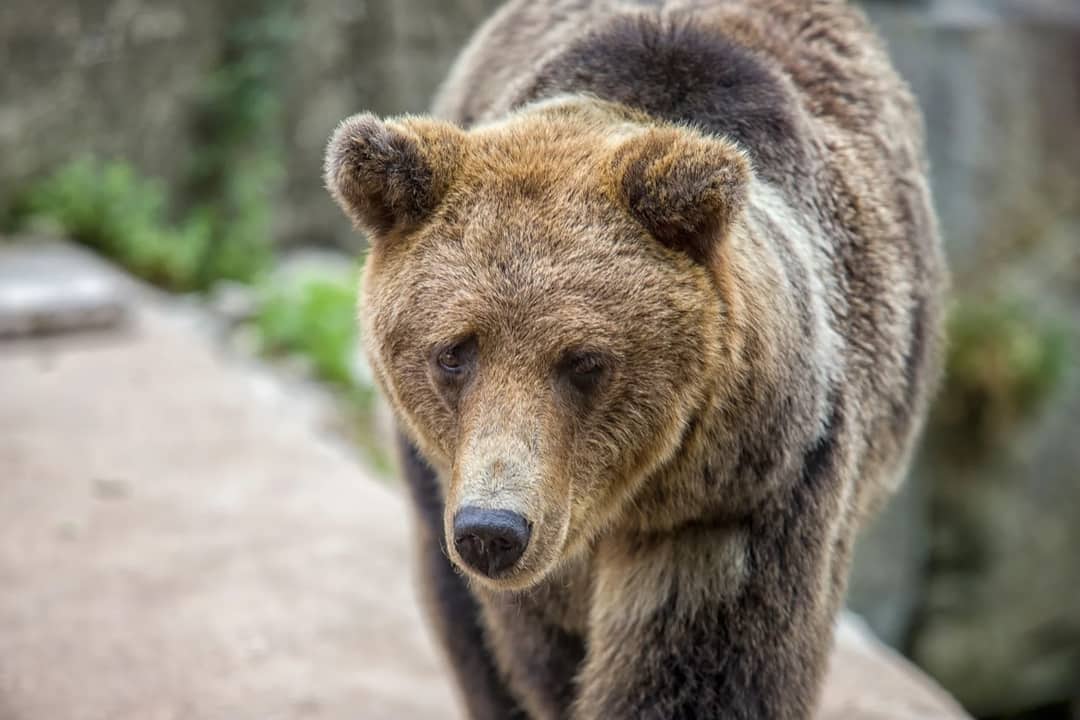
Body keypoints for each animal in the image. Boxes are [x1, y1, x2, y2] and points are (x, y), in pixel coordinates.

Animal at [324, 1, 946, 718]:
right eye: (454, 351)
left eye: (585, 361)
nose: (493, 528)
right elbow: (527, 649)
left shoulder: (739, 503)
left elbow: (697, 672)